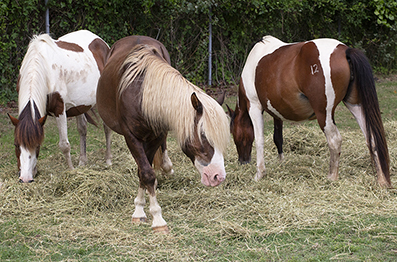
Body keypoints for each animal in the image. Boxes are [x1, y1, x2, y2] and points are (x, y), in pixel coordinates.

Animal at [7, 29, 111, 183]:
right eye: (16, 145)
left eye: (37, 146)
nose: (25, 178)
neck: (41, 67)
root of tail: (102, 42)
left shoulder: (60, 110)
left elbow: (64, 145)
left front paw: (71, 171)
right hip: (80, 105)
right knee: (82, 129)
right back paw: (82, 162)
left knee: (107, 128)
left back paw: (108, 160)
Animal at [96, 35, 230, 233]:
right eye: (203, 136)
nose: (217, 177)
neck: (142, 94)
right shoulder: (131, 138)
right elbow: (146, 173)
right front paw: (153, 218)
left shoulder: (156, 137)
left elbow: (144, 171)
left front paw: (143, 209)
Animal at [226, 36, 390, 188]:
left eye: (234, 134)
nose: (242, 161)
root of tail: (345, 51)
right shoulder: (276, 113)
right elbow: (278, 138)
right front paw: (281, 163)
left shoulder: (254, 107)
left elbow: (260, 140)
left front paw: (259, 174)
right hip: (355, 105)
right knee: (372, 138)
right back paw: (382, 180)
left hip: (324, 114)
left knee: (335, 140)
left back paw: (332, 177)